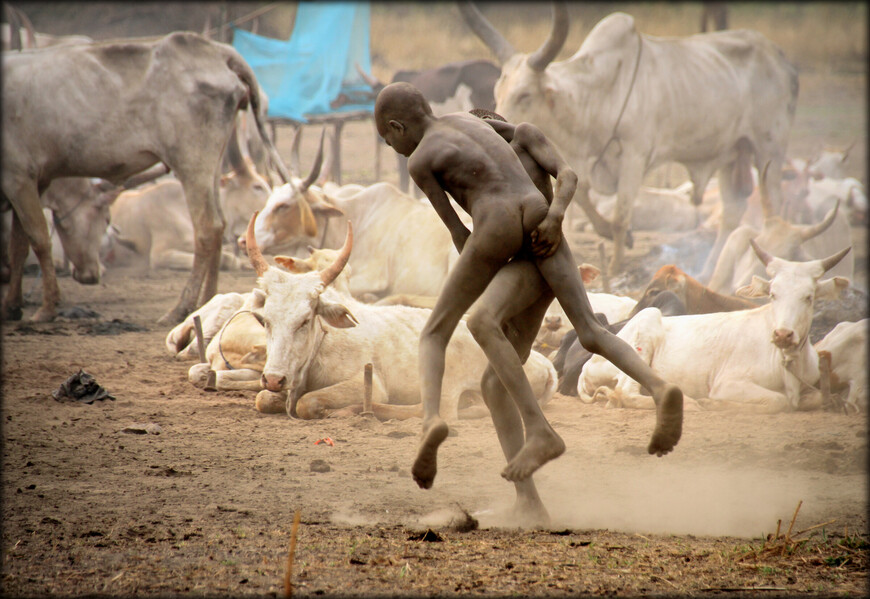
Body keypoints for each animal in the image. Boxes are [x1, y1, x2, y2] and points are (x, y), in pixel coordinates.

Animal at [460, 1, 800, 278]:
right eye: (497, 91)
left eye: (525, 95)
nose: (496, 122)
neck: (596, 97)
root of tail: (782, 58)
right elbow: (584, 199)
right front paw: (613, 235)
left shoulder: (635, 156)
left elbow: (621, 216)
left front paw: (615, 264)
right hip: (732, 153)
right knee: (732, 212)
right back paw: (707, 269)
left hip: (769, 148)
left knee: (772, 198)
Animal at [580, 241, 852, 414]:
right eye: (773, 294)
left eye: (809, 297)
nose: (783, 335)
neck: (787, 360)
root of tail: (588, 364)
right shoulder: (728, 384)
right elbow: (779, 402)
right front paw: (713, 404)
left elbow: (822, 398)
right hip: (643, 331)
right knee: (625, 393)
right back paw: (687, 402)